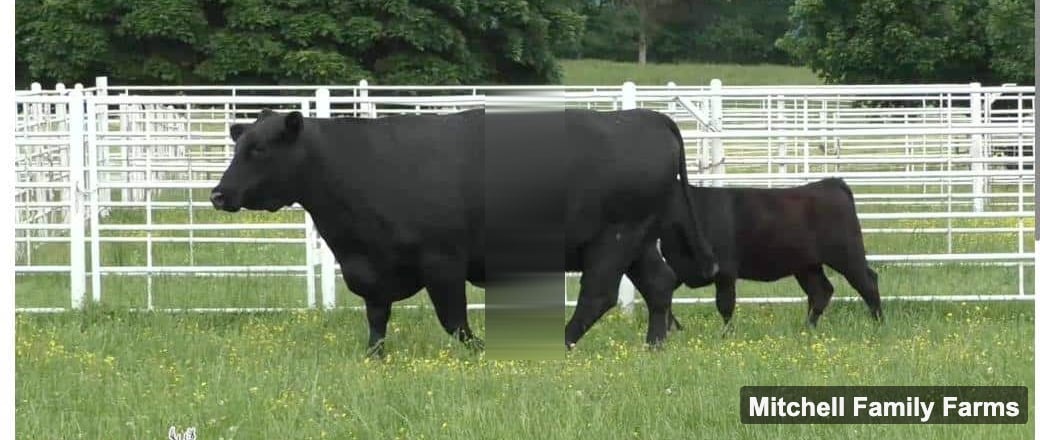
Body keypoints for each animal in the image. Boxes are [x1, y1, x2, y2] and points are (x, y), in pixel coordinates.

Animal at [210, 108, 717, 356]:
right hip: (637, 240)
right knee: (659, 284)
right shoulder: (372, 266)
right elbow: (376, 316)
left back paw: (559, 345)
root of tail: (646, 116)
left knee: (598, 296)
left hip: (615, 238)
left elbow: (452, 319)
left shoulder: (442, 259)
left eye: (258, 149)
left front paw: (479, 351)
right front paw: (373, 357)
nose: (218, 194)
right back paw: (654, 347)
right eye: (239, 145)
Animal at [659, 178, 882, 329]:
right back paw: (807, 329)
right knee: (821, 291)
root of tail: (831, 183)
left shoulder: (725, 272)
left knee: (868, 282)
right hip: (807, 266)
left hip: (847, 255)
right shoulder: (678, 267)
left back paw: (878, 322)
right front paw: (674, 328)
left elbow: (725, 305)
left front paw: (726, 335)